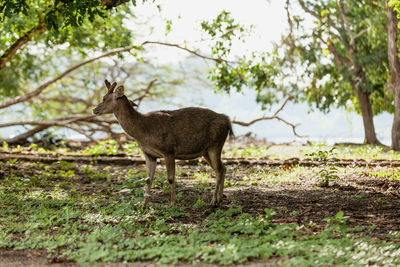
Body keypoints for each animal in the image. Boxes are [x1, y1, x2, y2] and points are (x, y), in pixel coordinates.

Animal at [93, 80, 234, 206]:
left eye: (104, 98)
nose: (94, 110)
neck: (142, 133)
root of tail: (228, 120)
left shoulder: (169, 150)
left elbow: (170, 178)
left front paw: (172, 203)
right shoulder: (149, 155)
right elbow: (148, 179)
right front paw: (143, 204)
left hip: (216, 144)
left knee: (219, 169)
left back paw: (214, 201)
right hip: (205, 151)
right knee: (222, 168)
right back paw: (219, 198)